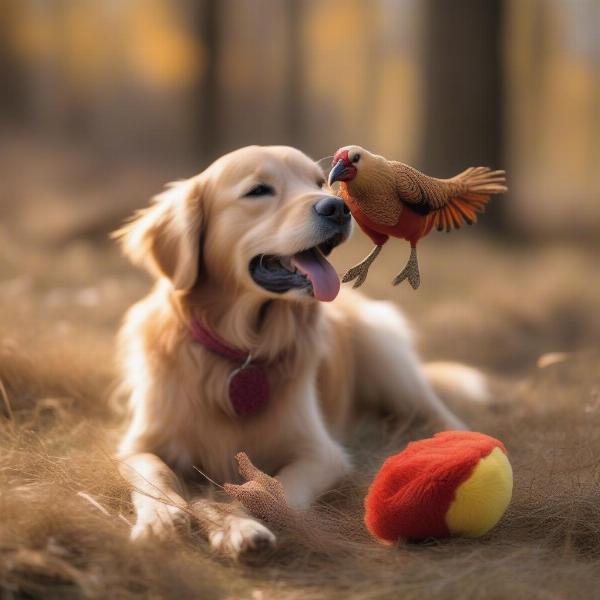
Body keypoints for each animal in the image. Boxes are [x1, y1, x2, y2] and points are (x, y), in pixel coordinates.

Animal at [115, 144, 466, 564]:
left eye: (319, 183)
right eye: (259, 190)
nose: (338, 208)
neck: (242, 351)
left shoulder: (321, 453)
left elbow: (267, 487)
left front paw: (236, 524)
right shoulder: (135, 445)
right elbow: (156, 473)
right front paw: (159, 520)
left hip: (388, 361)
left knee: (441, 415)